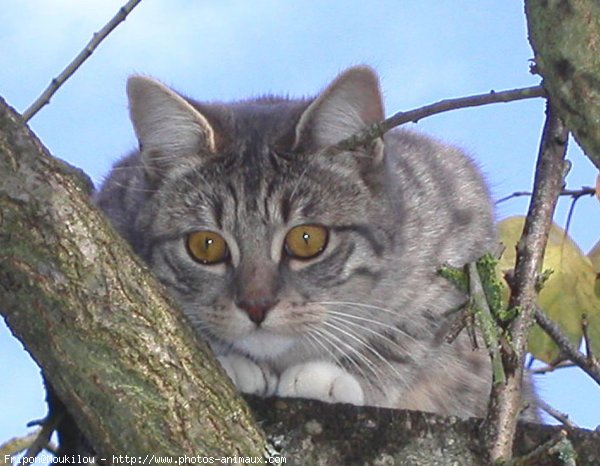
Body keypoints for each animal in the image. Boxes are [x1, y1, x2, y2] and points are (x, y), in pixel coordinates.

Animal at [97, 64, 502, 416]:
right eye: (206, 245)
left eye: (307, 239)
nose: (256, 306)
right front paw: (226, 359)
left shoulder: (461, 221)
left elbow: (405, 339)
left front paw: (334, 375)